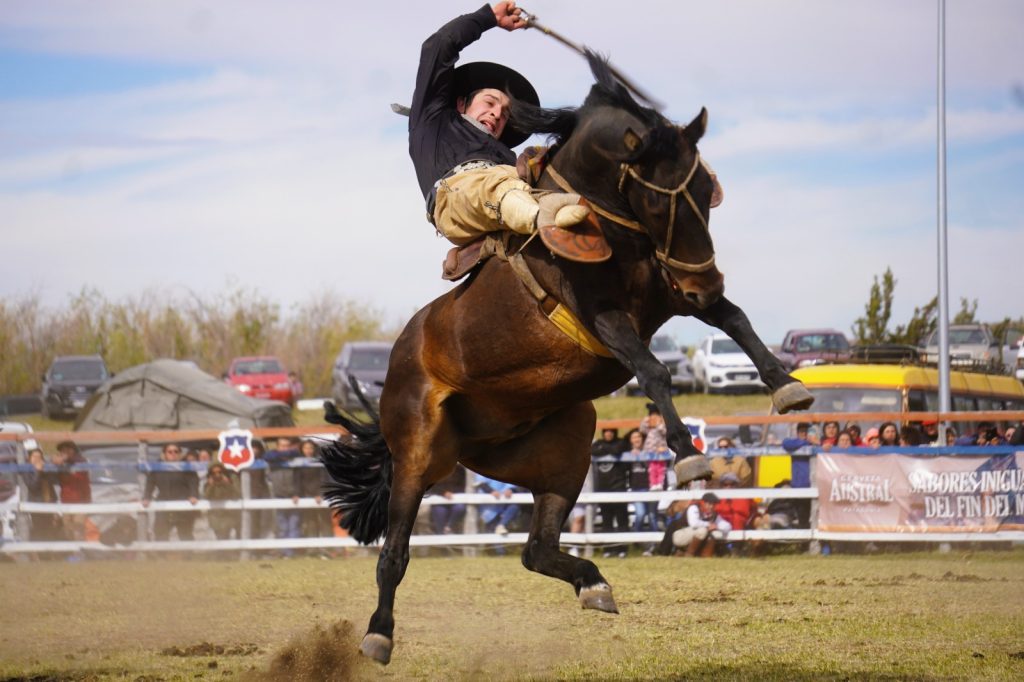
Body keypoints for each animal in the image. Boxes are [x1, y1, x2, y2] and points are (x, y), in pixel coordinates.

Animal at [322, 52, 812, 665]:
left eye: (705, 188)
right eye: (658, 197)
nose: (707, 278)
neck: (601, 221)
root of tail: (396, 367)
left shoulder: (671, 296)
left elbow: (734, 318)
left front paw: (787, 385)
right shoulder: (604, 318)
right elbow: (654, 369)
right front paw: (688, 456)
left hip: (560, 455)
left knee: (535, 549)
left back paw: (594, 584)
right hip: (418, 455)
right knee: (395, 554)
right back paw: (378, 635)